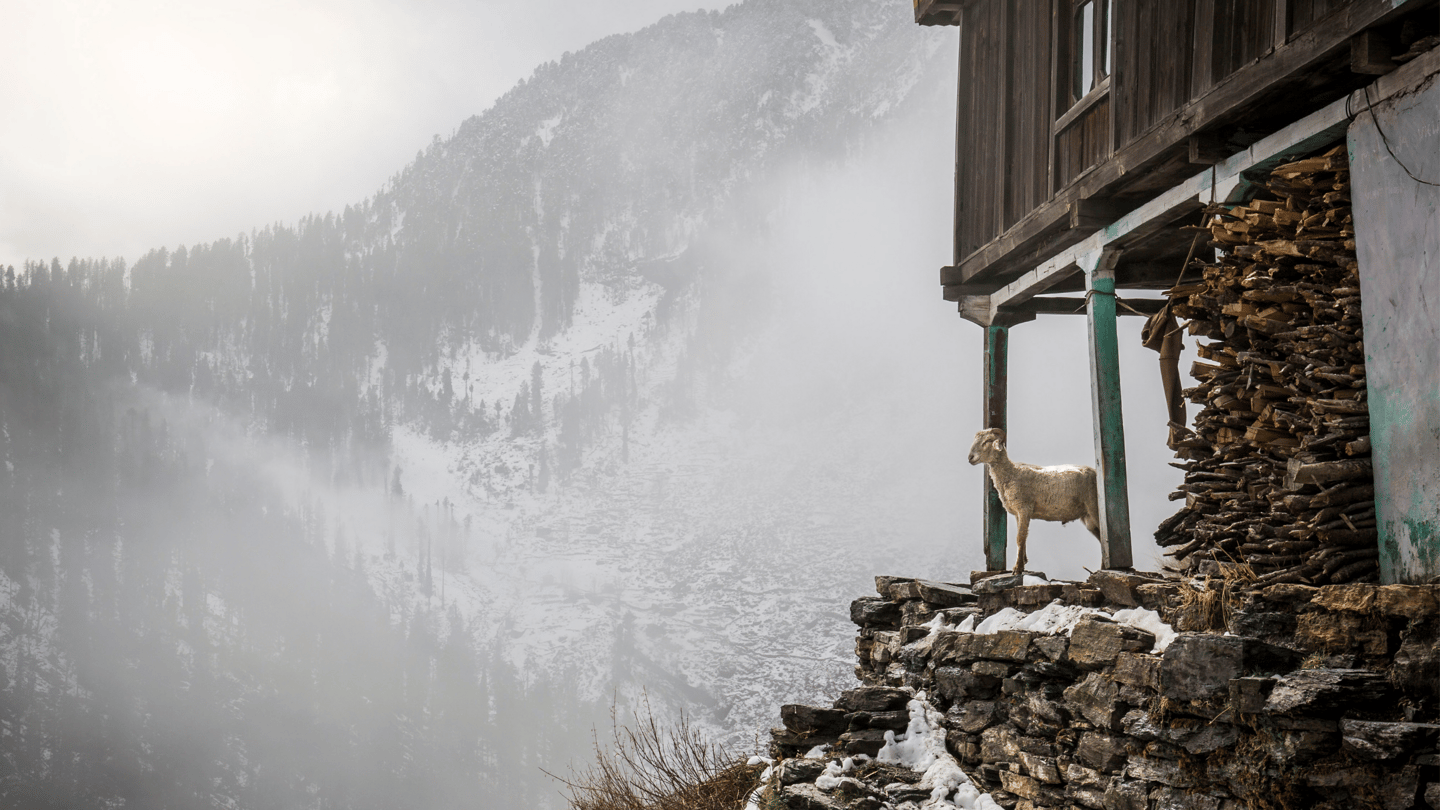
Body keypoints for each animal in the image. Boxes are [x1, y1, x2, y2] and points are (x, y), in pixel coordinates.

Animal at [967, 428, 1101, 573]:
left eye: (987, 441)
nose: (970, 457)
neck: (1011, 474)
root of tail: (1094, 471)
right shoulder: (1018, 513)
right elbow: (1023, 538)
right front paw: (1023, 563)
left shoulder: (1024, 508)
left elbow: (1020, 538)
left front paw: (1018, 568)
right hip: (1088, 518)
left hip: (1094, 507)